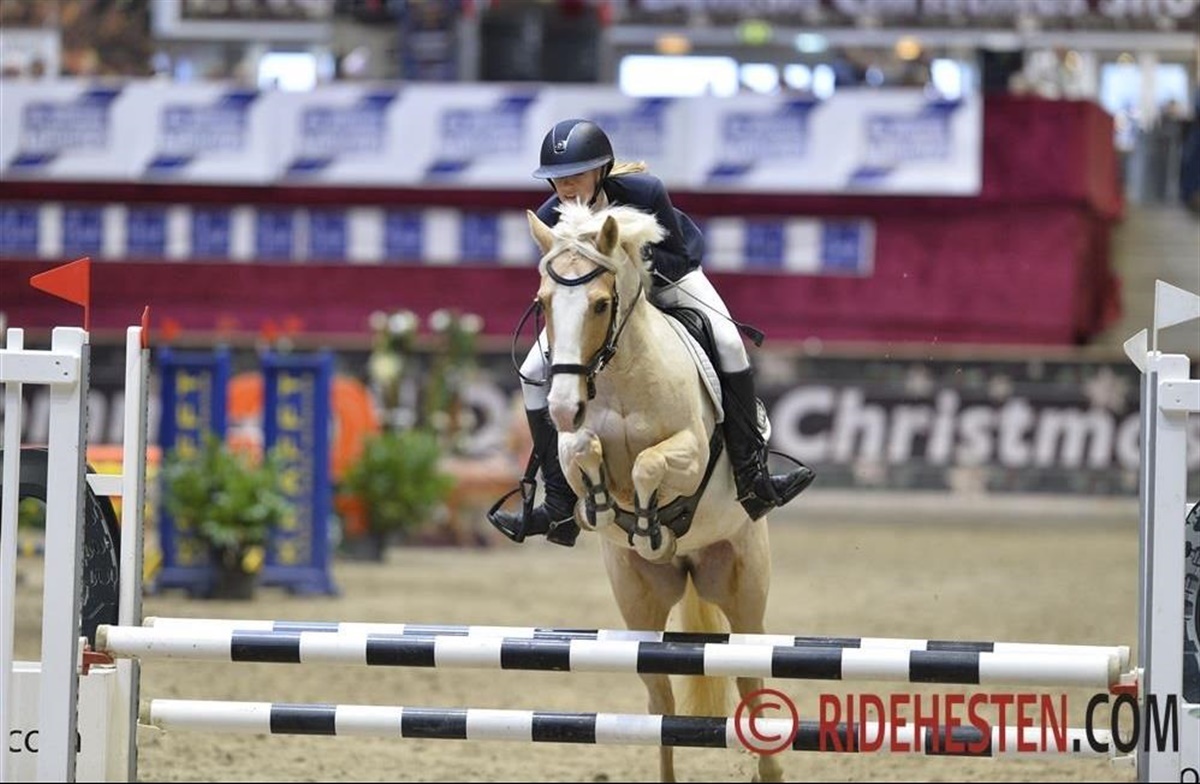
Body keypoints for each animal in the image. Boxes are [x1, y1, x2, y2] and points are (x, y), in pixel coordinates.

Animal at [528, 201, 783, 783]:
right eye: (543, 303)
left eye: (601, 304)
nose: (561, 406)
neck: (620, 376)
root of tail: (689, 563)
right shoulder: (571, 446)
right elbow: (582, 452)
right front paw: (602, 506)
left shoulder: (690, 451)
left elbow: (648, 464)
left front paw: (647, 523)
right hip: (638, 601)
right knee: (661, 703)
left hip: (743, 589)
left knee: (752, 683)